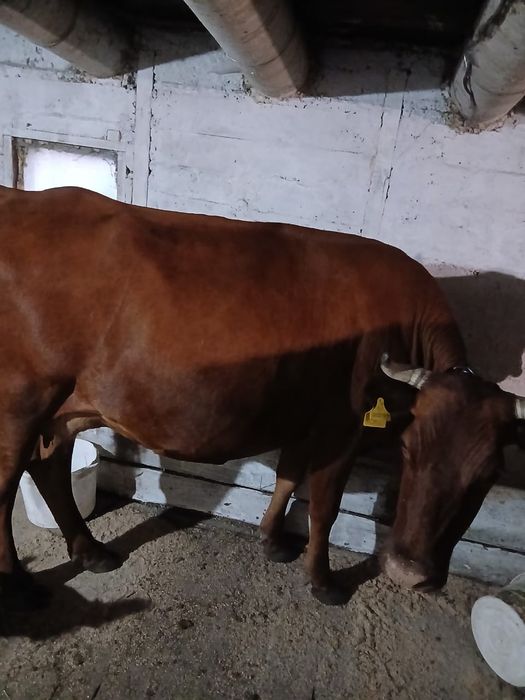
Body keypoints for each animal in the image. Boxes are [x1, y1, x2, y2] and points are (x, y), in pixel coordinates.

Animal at [0, 184, 522, 608]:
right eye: (409, 450)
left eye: (487, 475)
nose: (408, 573)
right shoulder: (343, 425)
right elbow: (325, 507)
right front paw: (324, 582)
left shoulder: (304, 416)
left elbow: (288, 477)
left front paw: (272, 541)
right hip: (21, 402)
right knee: (7, 487)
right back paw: (20, 586)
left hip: (62, 404)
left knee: (49, 466)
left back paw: (90, 551)